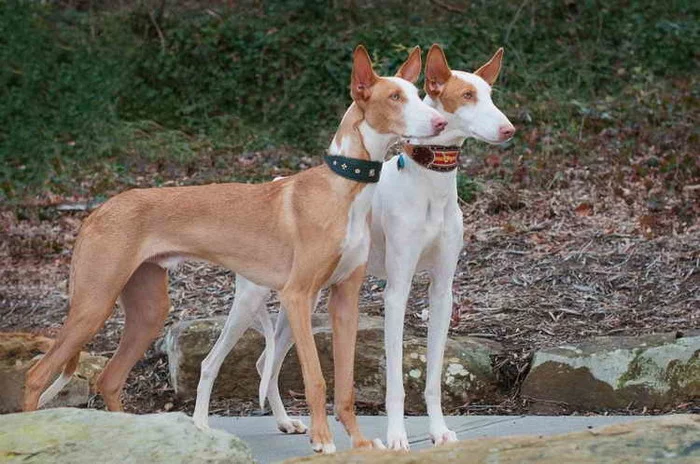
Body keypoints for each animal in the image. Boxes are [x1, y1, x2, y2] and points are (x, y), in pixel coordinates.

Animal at [26, 46, 448, 454]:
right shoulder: (297, 296)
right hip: (94, 304)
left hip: (148, 311)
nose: (441, 123)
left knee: (110, 379)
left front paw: (359, 443)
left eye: (417, 94)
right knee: (36, 376)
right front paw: (323, 440)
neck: (343, 187)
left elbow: (344, 384)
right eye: (395, 97)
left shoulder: (345, 300)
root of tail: (97, 211)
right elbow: (316, 378)